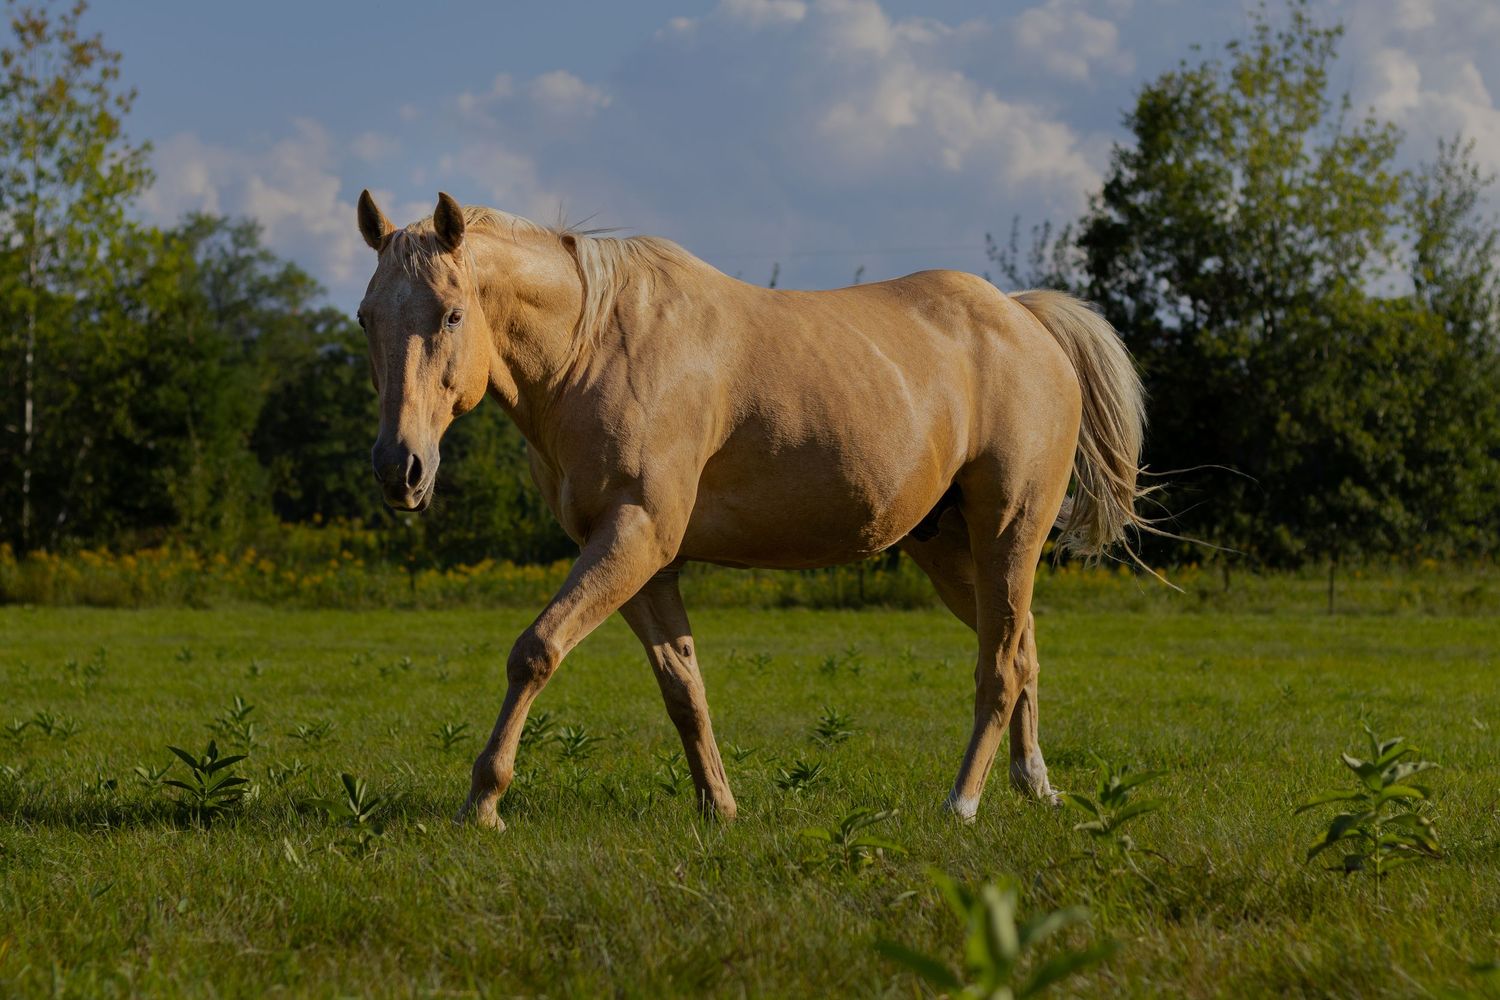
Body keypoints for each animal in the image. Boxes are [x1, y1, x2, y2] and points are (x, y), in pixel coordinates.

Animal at [354, 190, 1147, 830]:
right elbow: (683, 687)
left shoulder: (633, 535)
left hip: (1008, 531)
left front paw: (483, 802)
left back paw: (963, 803)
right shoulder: (641, 560)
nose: (400, 470)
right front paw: (721, 807)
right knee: (1020, 647)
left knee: (1001, 667)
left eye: (453, 314)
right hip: (949, 548)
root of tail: (1024, 320)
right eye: (365, 319)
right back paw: (1035, 786)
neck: (595, 346)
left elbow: (536, 651)